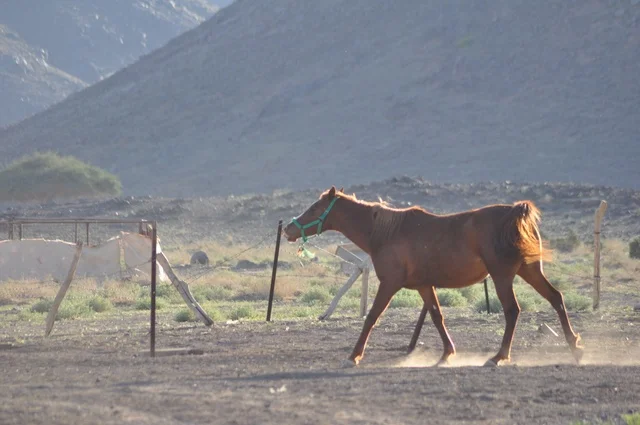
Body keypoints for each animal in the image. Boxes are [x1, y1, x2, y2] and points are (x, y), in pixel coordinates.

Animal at [282, 186, 583, 367]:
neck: (386, 232)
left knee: (512, 311)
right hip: (529, 271)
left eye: (314, 208)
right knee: (556, 298)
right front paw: (447, 353)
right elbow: (437, 317)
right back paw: (575, 347)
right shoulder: (425, 286)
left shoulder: (389, 284)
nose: (288, 229)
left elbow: (371, 317)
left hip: (502, 277)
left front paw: (354, 356)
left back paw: (499, 357)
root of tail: (513, 213)